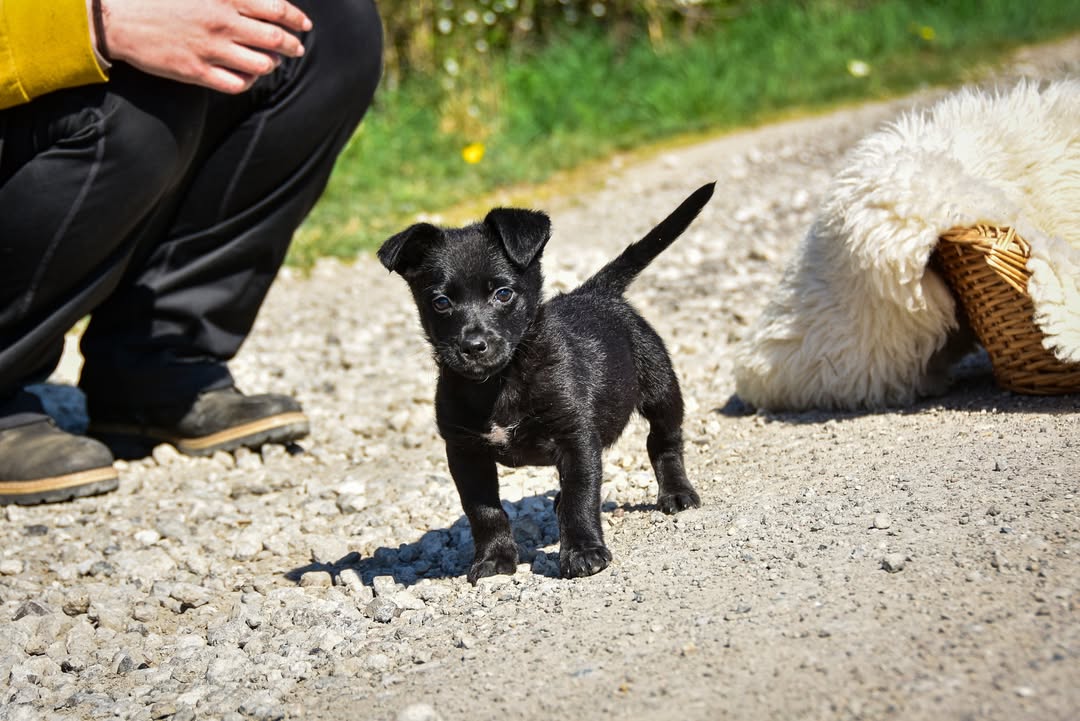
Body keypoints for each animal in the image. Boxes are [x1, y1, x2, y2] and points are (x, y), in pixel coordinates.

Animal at [378, 182, 714, 583]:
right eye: (441, 302)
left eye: (503, 294)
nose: (473, 346)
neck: (500, 382)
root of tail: (594, 292)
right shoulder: (465, 452)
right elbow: (485, 512)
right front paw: (494, 560)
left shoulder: (576, 438)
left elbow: (580, 497)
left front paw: (583, 552)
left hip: (660, 386)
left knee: (664, 441)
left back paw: (676, 493)